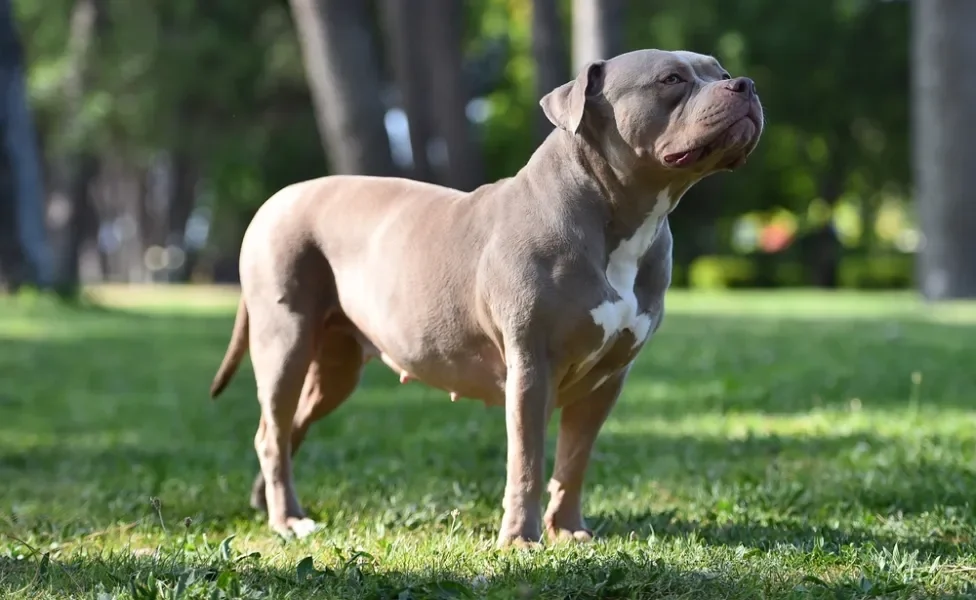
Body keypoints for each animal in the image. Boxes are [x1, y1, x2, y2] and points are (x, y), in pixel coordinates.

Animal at [212, 48, 764, 548]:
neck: (619, 217)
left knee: (285, 428)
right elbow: (527, 463)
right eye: (672, 79)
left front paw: (567, 530)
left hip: (335, 366)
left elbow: (573, 460)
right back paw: (289, 521)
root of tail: (275, 201)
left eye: (720, 71)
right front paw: (520, 540)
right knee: (273, 430)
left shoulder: (606, 379)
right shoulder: (532, 368)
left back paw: (270, 505)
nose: (747, 85)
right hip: (284, 342)